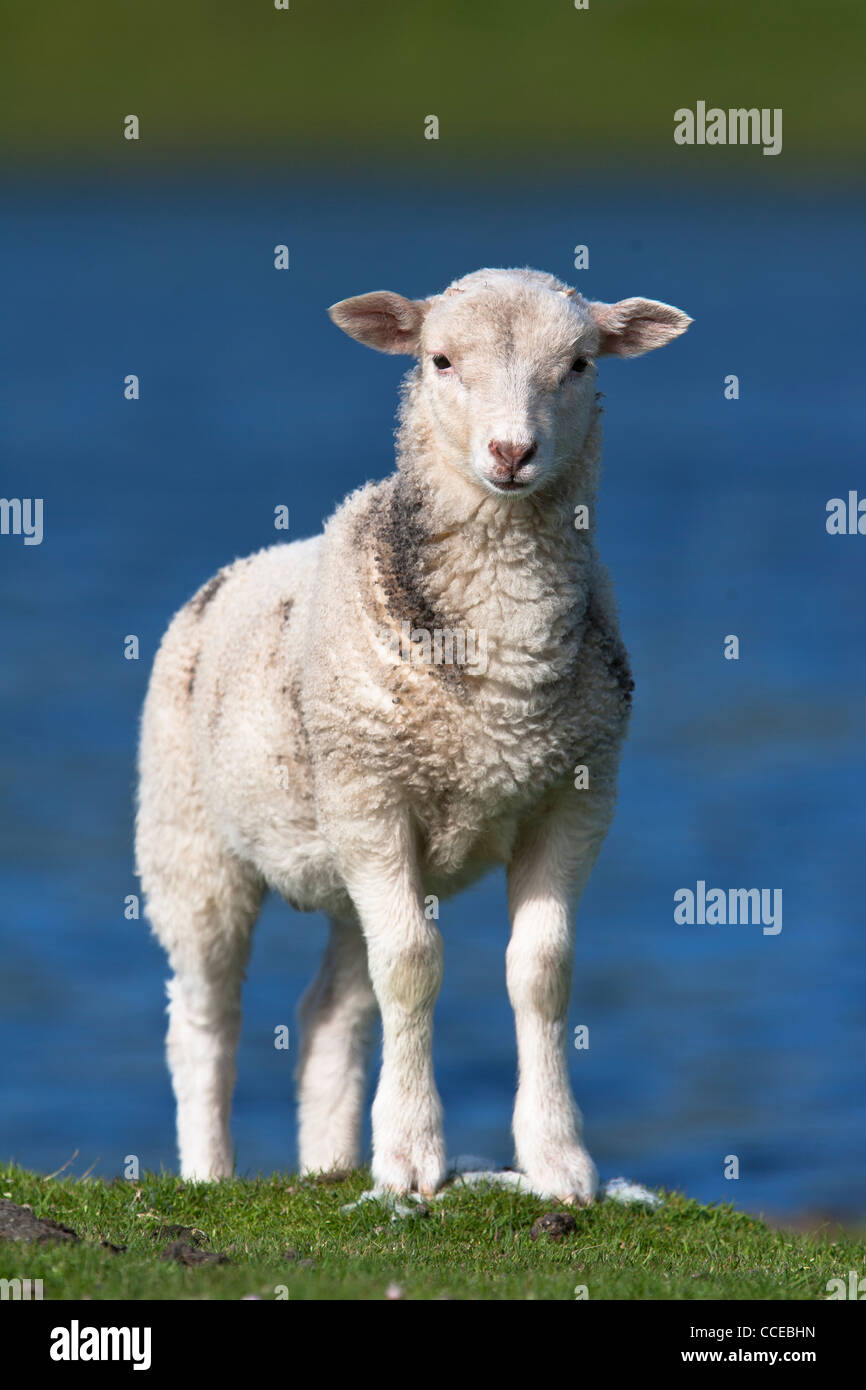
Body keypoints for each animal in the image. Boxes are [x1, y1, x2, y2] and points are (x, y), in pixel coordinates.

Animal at [135, 265, 692, 1200]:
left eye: (580, 363)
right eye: (439, 360)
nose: (511, 453)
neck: (500, 679)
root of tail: (235, 570)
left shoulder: (576, 795)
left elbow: (540, 972)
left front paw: (557, 1161)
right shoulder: (369, 791)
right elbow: (414, 966)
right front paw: (410, 1157)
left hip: (339, 865)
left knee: (330, 1010)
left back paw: (329, 1163)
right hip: (190, 840)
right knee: (205, 1019)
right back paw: (210, 1173)